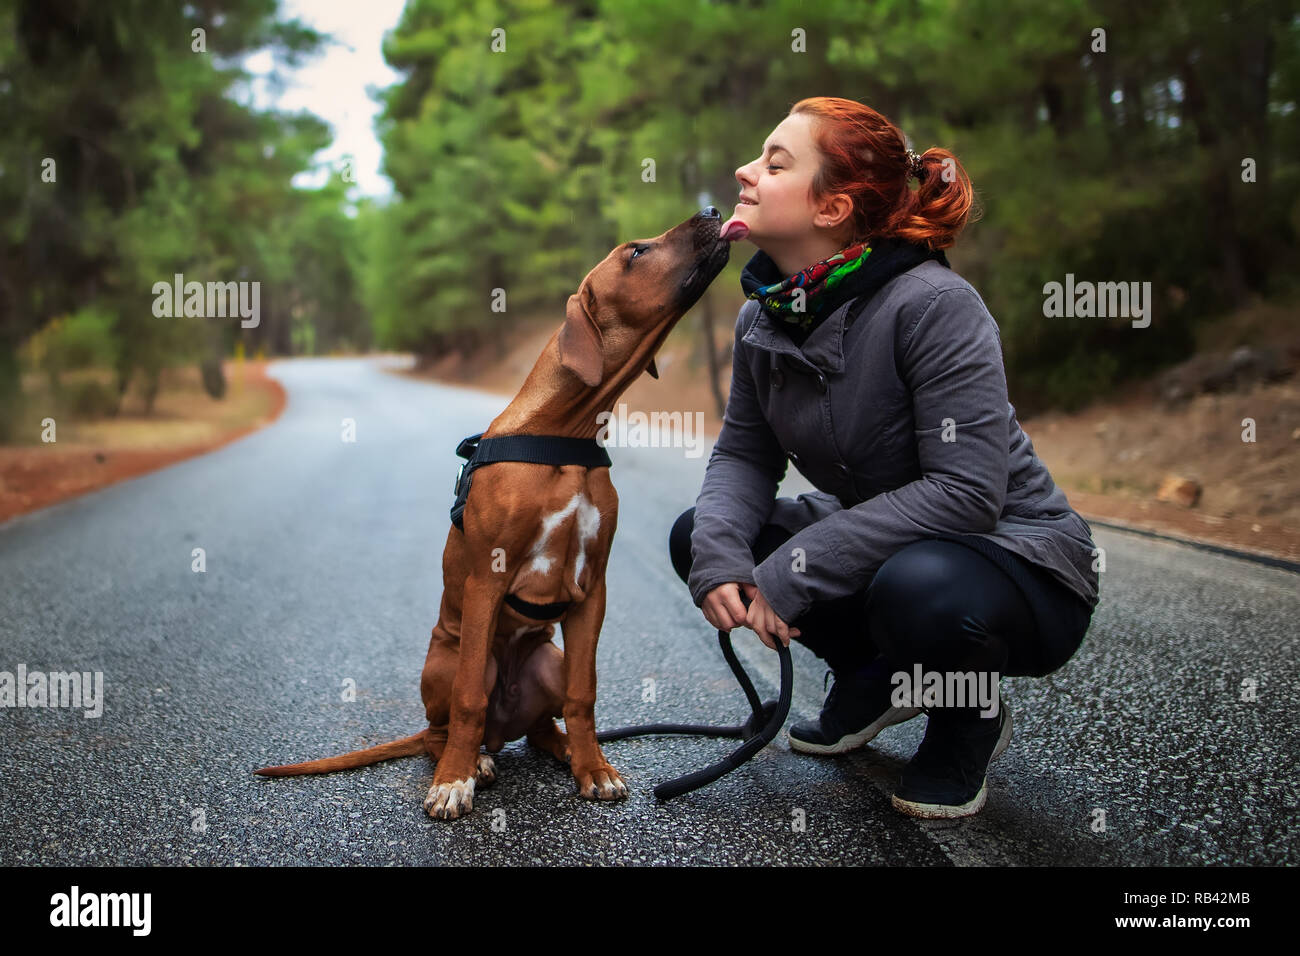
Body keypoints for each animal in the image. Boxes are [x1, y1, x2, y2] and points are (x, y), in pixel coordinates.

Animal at [253, 205, 738, 816]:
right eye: (636, 252)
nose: (712, 210)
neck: (564, 433)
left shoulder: (593, 590)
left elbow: (584, 694)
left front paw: (593, 768)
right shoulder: (487, 578)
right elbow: (467, 702)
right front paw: (452, 782)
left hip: (548, 660)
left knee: (539, 726)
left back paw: (560, 748)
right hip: (452, 661)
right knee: (445, 728)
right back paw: (470, 762)